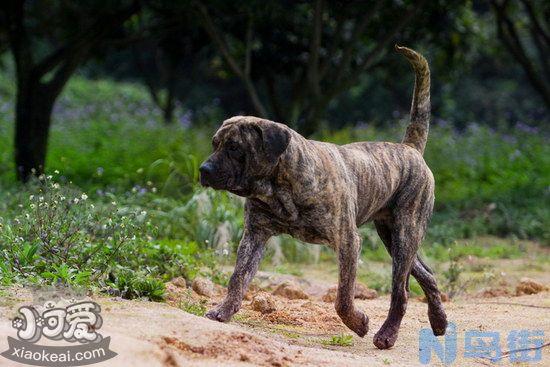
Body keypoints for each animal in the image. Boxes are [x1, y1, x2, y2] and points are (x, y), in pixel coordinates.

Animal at [199, 46, 448, 350]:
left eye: (234, 147)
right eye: (215, 144)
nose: (204, 170)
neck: (279, 187)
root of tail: (409, 148)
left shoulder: (348, 241)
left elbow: (343, 297)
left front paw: (358, 323)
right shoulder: (255, 235)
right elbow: (238, 277)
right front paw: (223, 311)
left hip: (405, 233)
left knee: (400, 291)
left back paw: (387, 334)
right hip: (393, 237)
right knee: (426, 274)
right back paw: (439, 321)